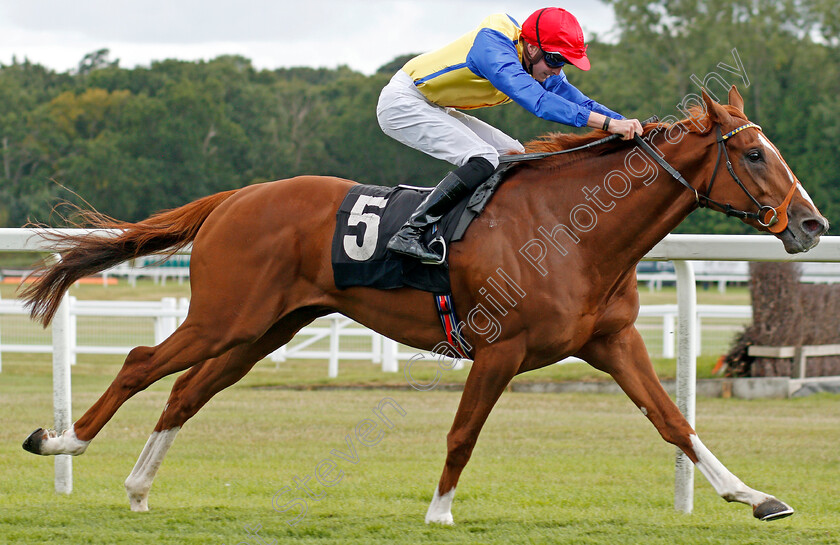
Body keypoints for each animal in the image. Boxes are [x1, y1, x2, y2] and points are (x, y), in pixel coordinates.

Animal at [19, 89, 828, 524]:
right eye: (753, 154)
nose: (813, 223)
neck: (577, 229)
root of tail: (234, 197)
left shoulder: (613, 341)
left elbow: (674, 421)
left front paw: (754, 494)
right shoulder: (500, 348)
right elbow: (464, 431)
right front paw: (439, 511)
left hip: (265, 329)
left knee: (187, 391)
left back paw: (138, 485)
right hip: (225, 316)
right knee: (140, 360)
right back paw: (63, 443)